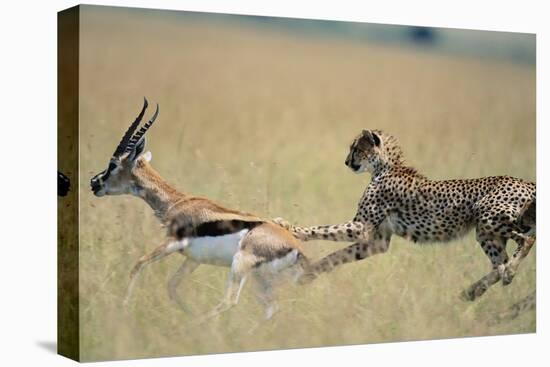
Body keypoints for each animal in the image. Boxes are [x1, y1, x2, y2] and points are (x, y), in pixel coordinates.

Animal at [278, 129, 536, 302]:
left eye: (356, 149)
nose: (347, 162)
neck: (385, 167)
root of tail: (526, 182)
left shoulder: (362, 227)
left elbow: (323, 229)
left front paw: (289, 228)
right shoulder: (377, 241)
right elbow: (336, 256)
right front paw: (308, 274)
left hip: (490, 218)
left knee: (525, 241)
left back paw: (507, 273)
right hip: (485, 233)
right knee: (499, 264)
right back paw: (473, 291)